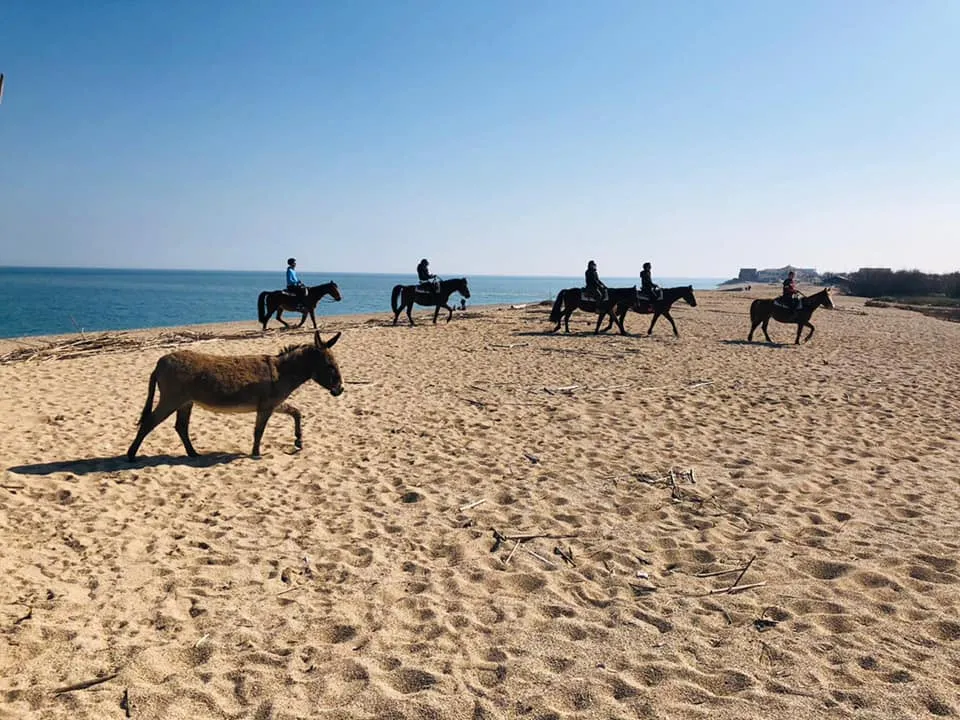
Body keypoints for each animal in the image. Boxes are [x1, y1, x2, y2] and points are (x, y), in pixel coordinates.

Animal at [127, 331, 343, 460]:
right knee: (149, 423)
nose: (340, 390)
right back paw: (131, 455)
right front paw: (256, 454)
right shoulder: (266, 407)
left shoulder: (273, 404)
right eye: (330, 366)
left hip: (185, 402)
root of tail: (159, 363)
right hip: (171, 400)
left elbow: (296, 413)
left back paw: (193, 454)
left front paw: (298, 441)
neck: (282, 371)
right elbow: (259, 431)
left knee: (180, 427)